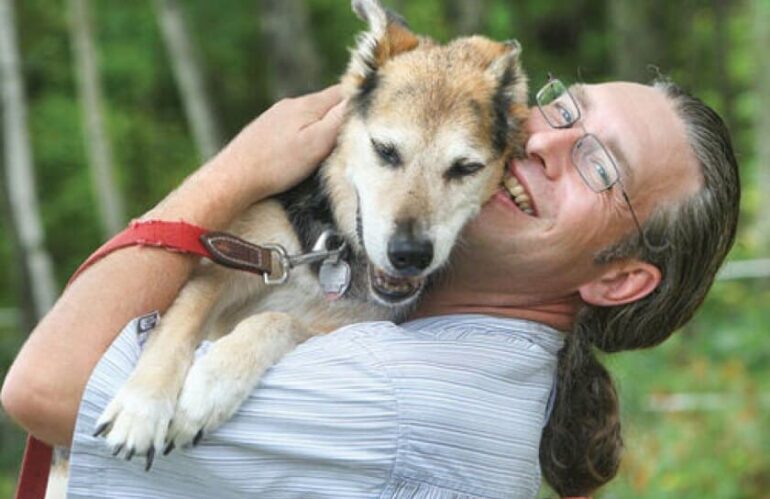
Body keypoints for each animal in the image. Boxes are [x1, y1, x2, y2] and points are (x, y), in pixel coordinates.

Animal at [93, 0, 528, 468]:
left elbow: (277, 320)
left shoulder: (345, 329)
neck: (331, 250)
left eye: (466, 168)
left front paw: (211, 385)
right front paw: (141, 408)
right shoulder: (228, 258)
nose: (410, 254)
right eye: (385, 150)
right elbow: (178, 323)